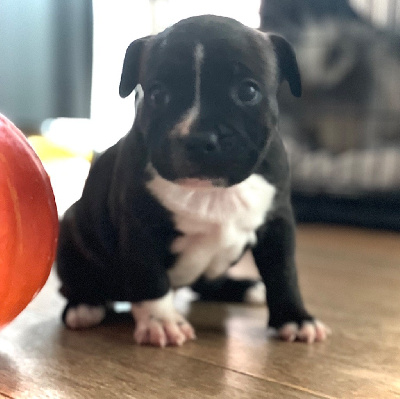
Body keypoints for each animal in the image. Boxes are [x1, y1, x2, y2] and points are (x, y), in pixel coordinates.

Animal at [57, 15, 330, 346]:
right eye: (157, 94)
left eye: (248, 92)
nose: (199, 139)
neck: (212, 191)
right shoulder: (140, 226)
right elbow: (150, 276)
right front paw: (161, 321)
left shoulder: (277, 223)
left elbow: (284, 273)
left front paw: (295, 318)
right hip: (71, 228)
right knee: (75, 284)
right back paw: (84, 306)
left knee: (208, 285)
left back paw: (246, 288)